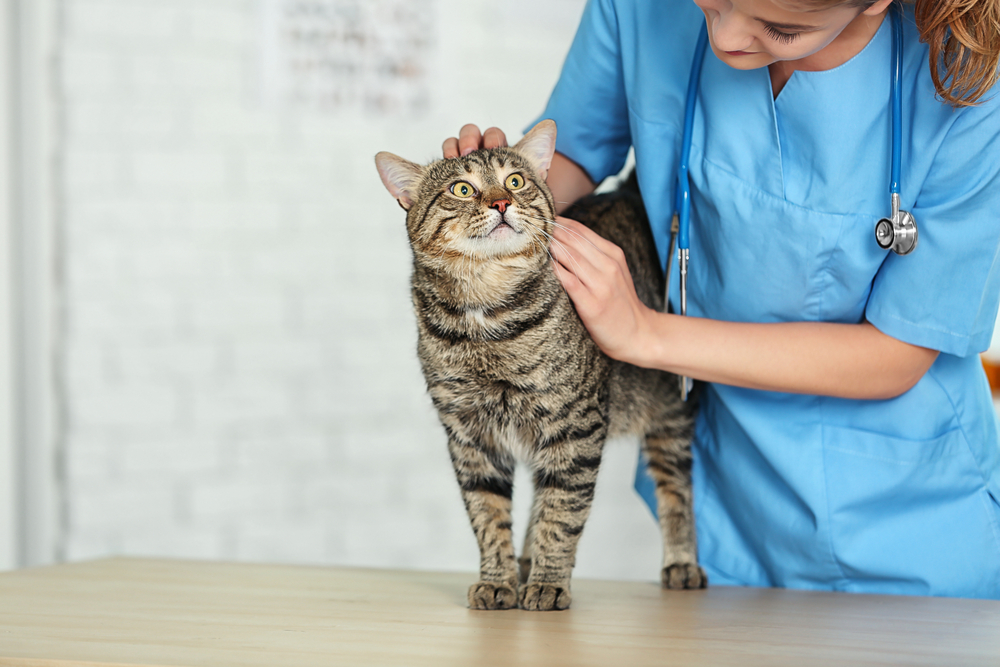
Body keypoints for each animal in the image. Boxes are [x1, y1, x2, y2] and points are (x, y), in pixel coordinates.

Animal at [374, 120, 704, 612]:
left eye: (515, 181)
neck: (485, 315)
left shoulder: (576, 426)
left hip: (671, 410)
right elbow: (488, 516)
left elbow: (562, 512)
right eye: (462, 188)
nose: (501, 202)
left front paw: (549, 583)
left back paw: (681, 562)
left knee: (675, 485)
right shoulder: (470, 436)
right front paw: (499, 580)